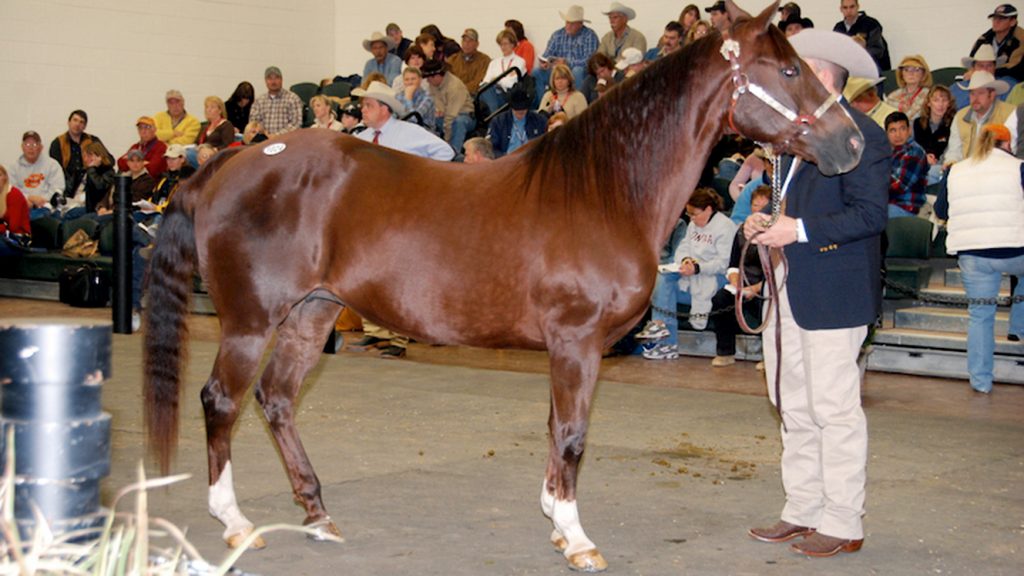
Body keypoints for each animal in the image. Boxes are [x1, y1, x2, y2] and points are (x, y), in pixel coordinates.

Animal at [143, 2, 865, 571]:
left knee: (277, 400)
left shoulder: (571, 348)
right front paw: (577, 538)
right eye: (790, 71)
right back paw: (237, 524)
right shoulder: (576, 341)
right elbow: (571, 434)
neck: (603, 189)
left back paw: (318, 515)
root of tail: (228, 162)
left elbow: (556, 430)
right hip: (251, 321)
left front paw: (557, 520)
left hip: (311, 314)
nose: (854, 144)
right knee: (222, 401)